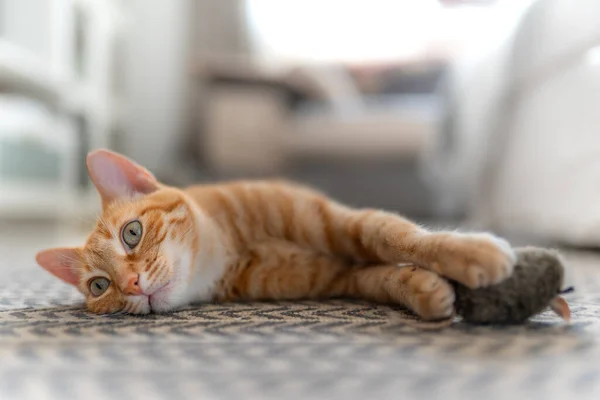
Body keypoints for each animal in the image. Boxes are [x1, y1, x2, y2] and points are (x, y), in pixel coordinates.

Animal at [36, 149, 516, 318]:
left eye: (131, 234)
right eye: (100, 286)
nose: (133, 284)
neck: (234, 247)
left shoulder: (343, 222)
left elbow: (400, 237)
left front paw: (472, 251)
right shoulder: (343, 277)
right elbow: (387, 276)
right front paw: (426, 288)